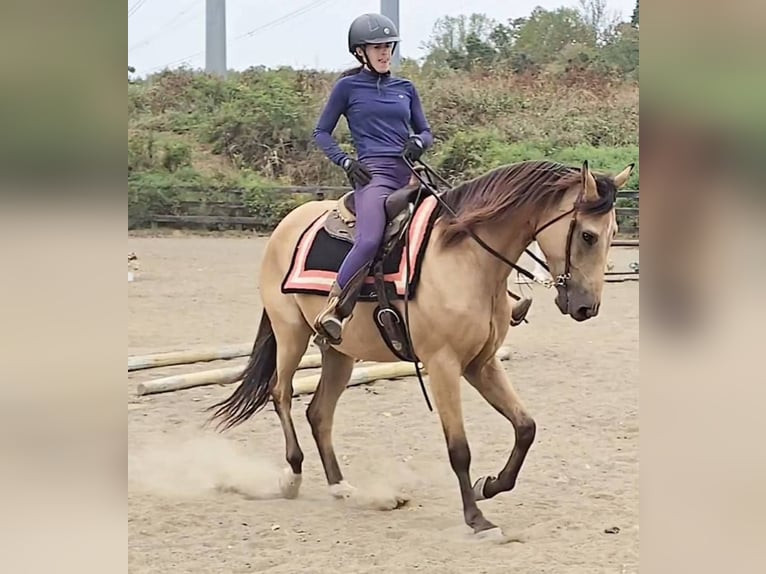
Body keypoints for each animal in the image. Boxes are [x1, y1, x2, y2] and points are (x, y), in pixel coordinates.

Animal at [207, 158, 634, 537]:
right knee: (281, 393)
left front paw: (489, 486)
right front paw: (477, 519)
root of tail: (289, 222)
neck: (467, 257)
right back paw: (292, 477)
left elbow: (525, 428)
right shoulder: (443, 365)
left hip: (339, 352)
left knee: (319, 413)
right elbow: (459, 448)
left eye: (613, 233)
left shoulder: (481, 363)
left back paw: (342, 488)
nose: (587, 307)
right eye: (588, 236)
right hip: (290, 333)